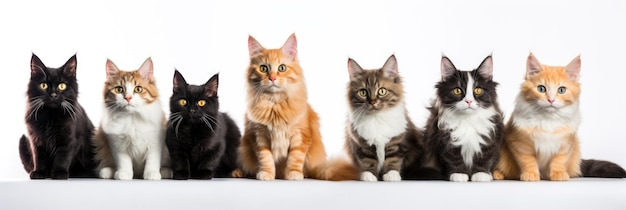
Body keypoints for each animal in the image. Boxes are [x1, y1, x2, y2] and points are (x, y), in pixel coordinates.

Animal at [233, 33, 356, 180]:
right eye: (263, 68)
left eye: (282, 68)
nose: (272, 78)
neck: (275, 105)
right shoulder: (258, 136)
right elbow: (265, 158)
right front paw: (266, 173)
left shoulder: (301, 135)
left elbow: (295, 157)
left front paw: (293, 174)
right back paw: (239, 172)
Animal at [492, 52, 624, 180]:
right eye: (541, 88)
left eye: (561, 90)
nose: (551, 100)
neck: (548, 120)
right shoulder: (520, 143)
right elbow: (528, 161)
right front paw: (531, 174)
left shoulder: (566, 145)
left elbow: (559, 161)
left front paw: (558, 174)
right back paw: (498, 174)